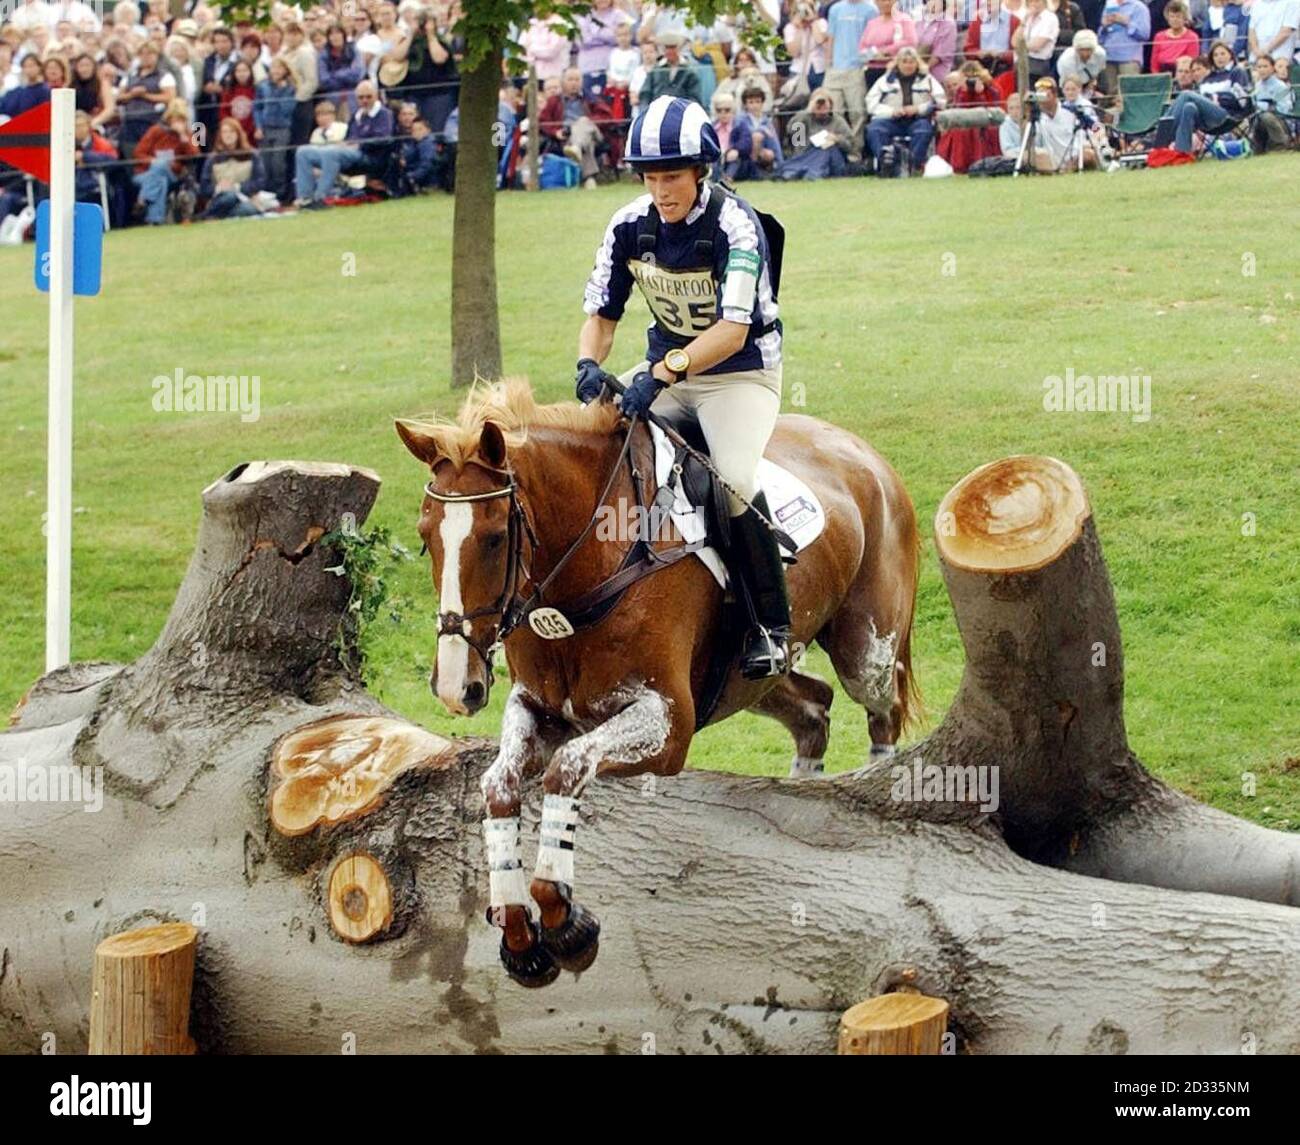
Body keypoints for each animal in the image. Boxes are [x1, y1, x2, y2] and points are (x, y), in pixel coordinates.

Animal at [395, 379, 915, 987]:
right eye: (425, 537)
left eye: (497, 538)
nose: (457, 687)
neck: (585, 570)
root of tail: (866, 454)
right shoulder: (538, 707)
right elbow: (499, 785)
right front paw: (519, 931)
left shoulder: (668, 724)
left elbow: (566, 768)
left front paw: (566, 923)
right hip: (753, 681)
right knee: (813, 708)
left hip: (865, 650)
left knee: (880, 711)